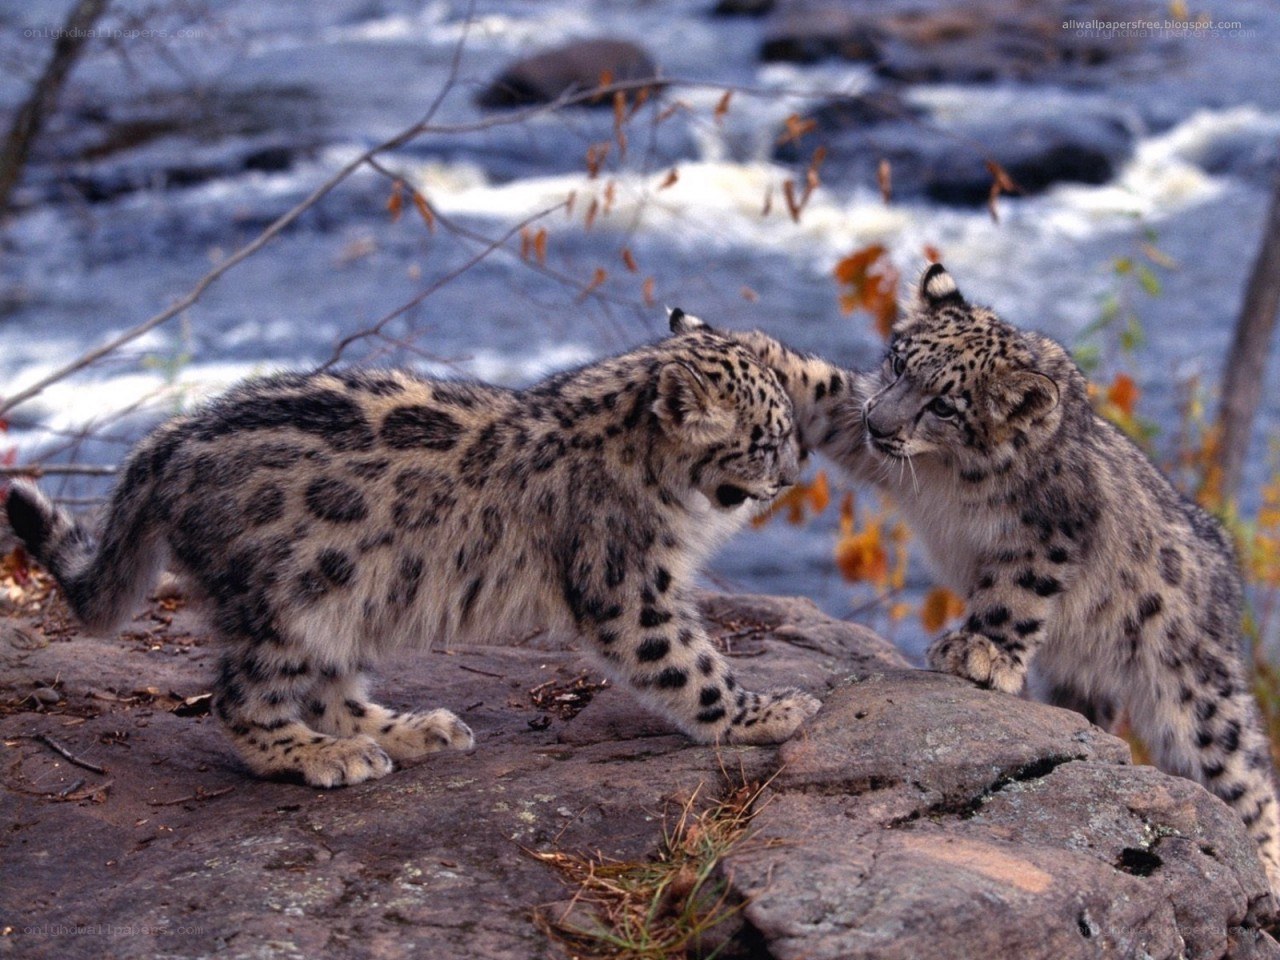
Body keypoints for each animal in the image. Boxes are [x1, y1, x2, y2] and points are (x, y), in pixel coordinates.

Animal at [4, 322, 820, 788]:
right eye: (766, 440)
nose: (790, 477)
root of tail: (166, 441)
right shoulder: (628, 586)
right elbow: (689, 665)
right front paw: (767, 711)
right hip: (292, 601)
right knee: (242, 700)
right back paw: (323, 757)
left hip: (352, 597)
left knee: (333, 691)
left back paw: (412, 730)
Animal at [673, 263, 1280, 895]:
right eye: (897, 364)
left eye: (945, 405)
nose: (879, 421)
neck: (946, 475)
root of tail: (1225, 568)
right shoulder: (858, 427)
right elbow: (821, 388)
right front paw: (729, 340)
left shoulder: (1050, 531)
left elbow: (1015, 592)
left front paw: (979, 652)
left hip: (1194, 687)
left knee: (1245, 773)